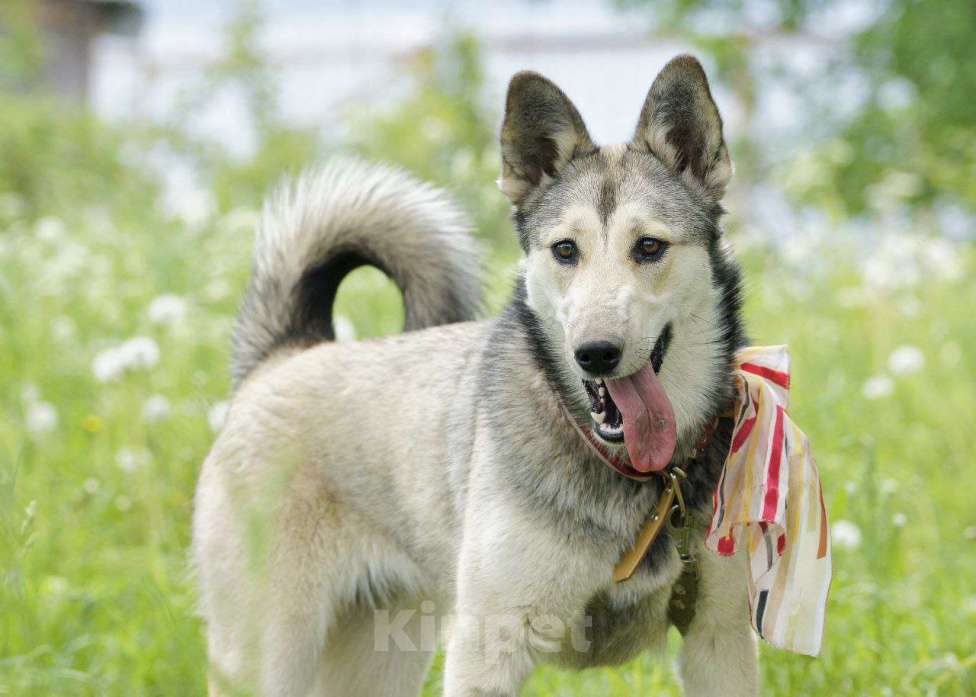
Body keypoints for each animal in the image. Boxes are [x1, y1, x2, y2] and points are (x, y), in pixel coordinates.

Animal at [194, 55, 764, 696]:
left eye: (648, 247)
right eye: (565, 250)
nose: (595, 353)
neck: (642, 475)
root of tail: (283, 356)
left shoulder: (718, 639)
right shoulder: (489, 649)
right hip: (264, 659)